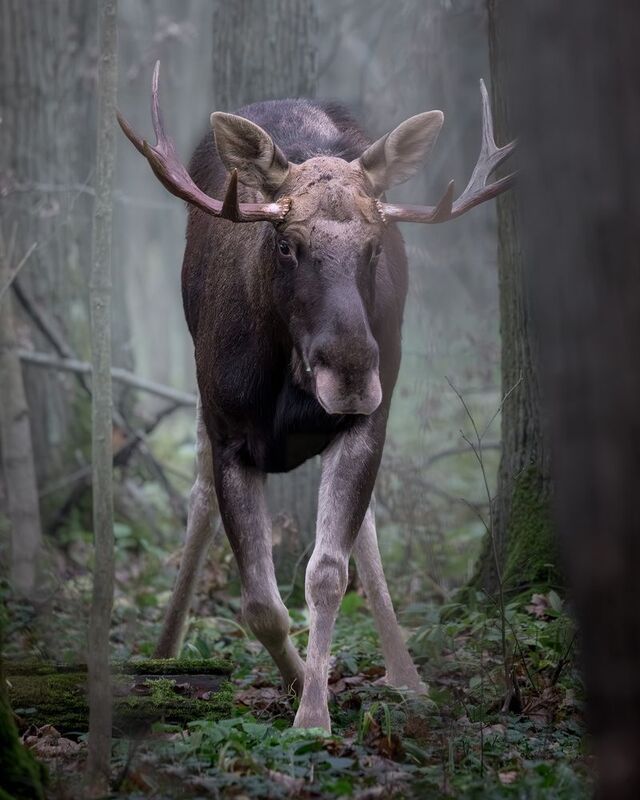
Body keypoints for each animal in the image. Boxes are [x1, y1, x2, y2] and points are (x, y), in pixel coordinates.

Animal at [117, 62, 514, 732]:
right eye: (285, 242)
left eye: (376, 246)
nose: (351, 370)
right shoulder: (229, 430)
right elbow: (258, 602)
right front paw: (299, 683)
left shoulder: (366, 420)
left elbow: (329, 571)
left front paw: (314, 710)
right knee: (197, 500)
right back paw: (164, 653)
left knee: (366, 528)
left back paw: (407, 676)